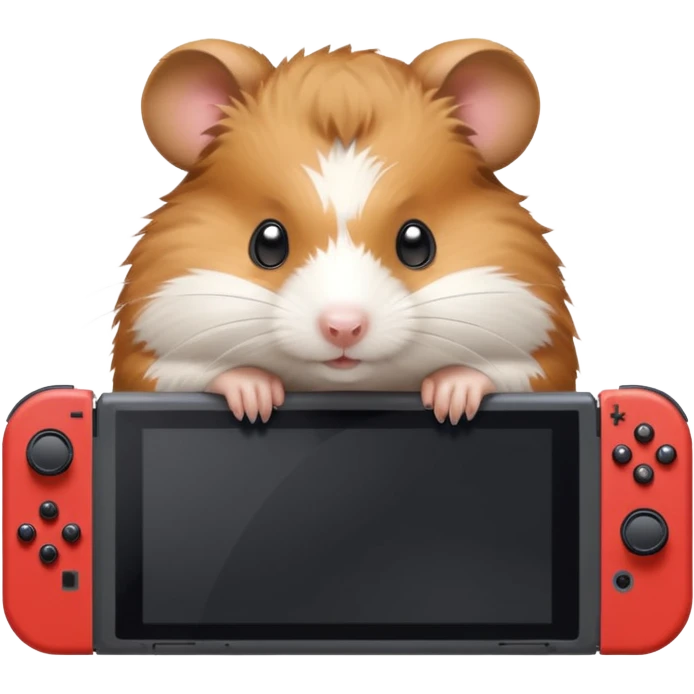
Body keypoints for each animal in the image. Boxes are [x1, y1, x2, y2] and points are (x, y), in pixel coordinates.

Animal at [114, 38, 580, 424]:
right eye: (268, 242)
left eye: (417, 243)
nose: (343, 328)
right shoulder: (145, 362)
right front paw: (254, 396)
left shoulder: (545, 359)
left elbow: (514, 371)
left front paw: (451, 398)